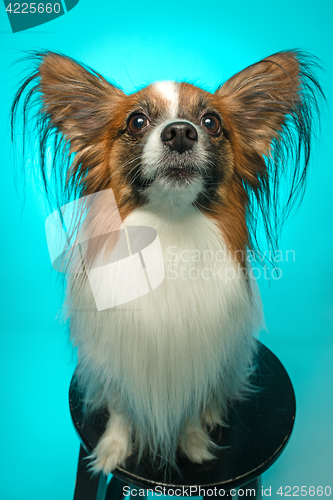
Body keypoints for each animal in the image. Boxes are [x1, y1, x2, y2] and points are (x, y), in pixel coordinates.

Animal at [11, 48, 322, 474]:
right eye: (136, 121)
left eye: (211, 122)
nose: (180, 132)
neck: (169, 229)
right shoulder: (118, 355)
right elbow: (121, 408)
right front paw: (112, 448)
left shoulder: (199, 358)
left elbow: (190, 407)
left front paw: (194, 443)